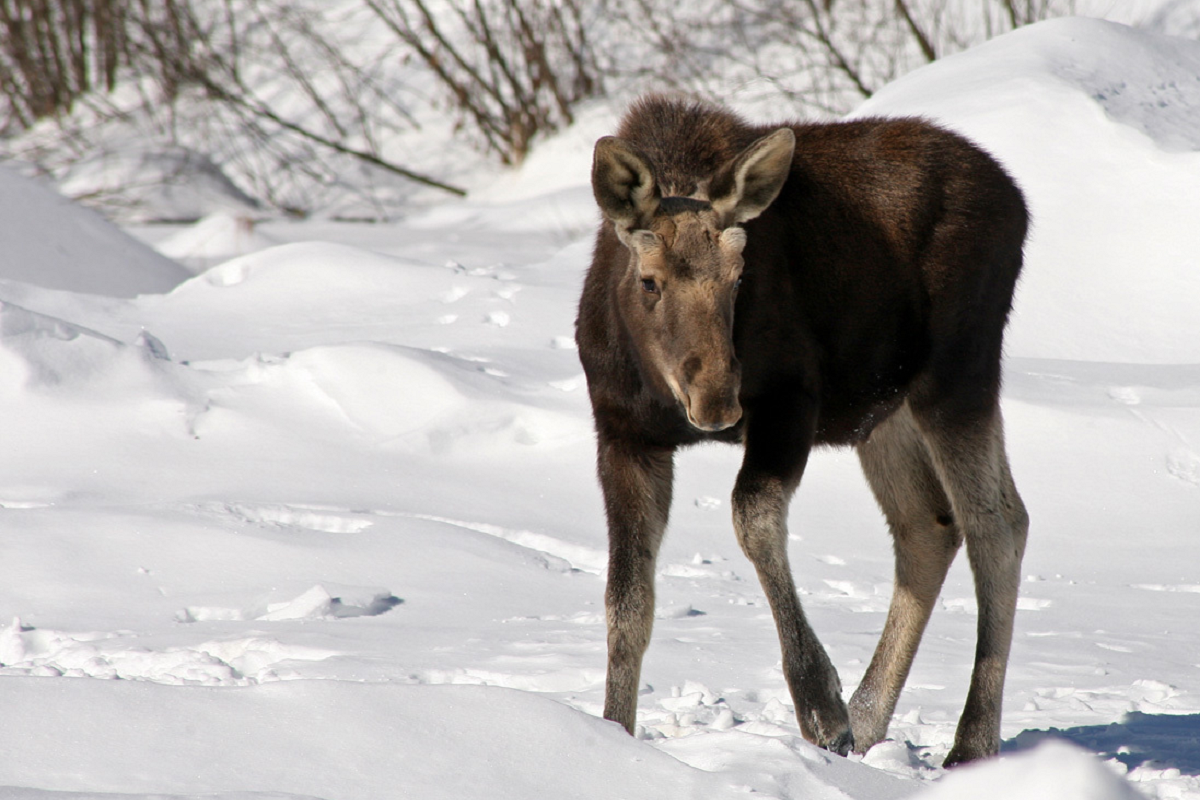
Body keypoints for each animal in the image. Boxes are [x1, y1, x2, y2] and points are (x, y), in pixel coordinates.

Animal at [575, 95, 1029, 767]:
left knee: (994, 525)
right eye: (649, 280)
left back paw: (968, 742)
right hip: (885, 409)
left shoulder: (790, 401)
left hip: (958, 372)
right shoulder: (624, 434)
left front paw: (821, 707)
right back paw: (868, 722)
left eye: (739, 277)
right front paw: (614, 731)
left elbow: (753, 519)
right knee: (932, 523)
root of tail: (1017, 200)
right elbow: (627, 604)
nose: (718, 400)